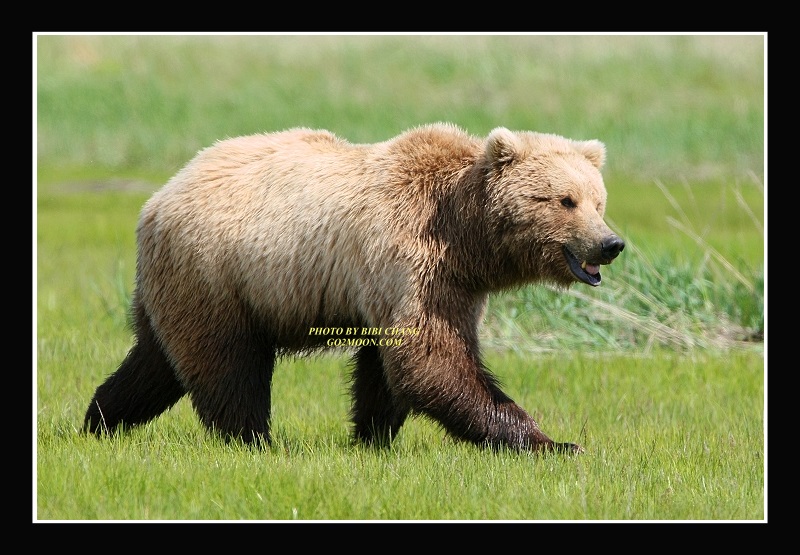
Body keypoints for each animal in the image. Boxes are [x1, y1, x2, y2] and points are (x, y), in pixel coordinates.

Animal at [83, 123, 624, 454]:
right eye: (565, 200)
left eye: (598, 200)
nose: (610, 243)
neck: (466, 234)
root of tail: (158, 198)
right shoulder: (413, 262)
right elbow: (431, 359)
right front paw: (553, 443)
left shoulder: (445, 283)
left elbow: (388, 367)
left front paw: (372, 437)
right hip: (217, 273)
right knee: (227, 365)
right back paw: (255, 439)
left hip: (176, 286)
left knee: (155, 361)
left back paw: (99, 419)